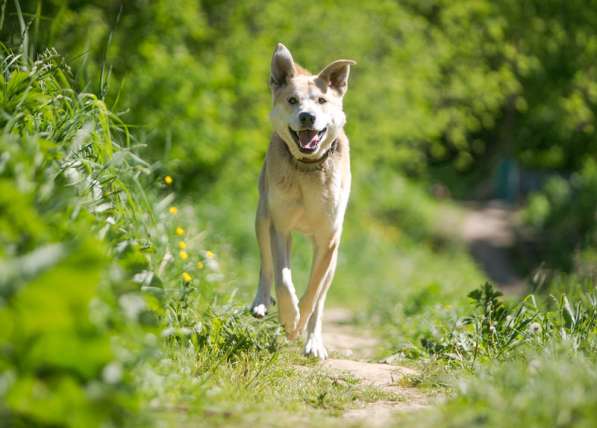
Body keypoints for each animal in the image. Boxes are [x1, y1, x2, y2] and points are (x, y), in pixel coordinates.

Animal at [250, 43, 356, 360]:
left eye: (321, 100)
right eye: (292, 100)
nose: (307, 116)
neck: (308, 168)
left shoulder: (328, 240)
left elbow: (313, 293)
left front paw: (299, 327)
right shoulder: (280, 227)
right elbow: (283, 280)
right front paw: (288, 317)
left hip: (333, 256)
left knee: (321, 298)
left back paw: (313, 342)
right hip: (262, 216)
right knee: (267, 265)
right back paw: (261, 302)